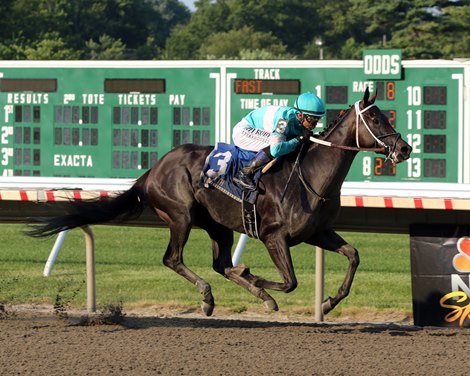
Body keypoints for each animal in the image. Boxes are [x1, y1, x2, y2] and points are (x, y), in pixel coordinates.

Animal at [30, 89, 412, 316]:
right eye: (375, 118)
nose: (405, 148)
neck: (311, 176)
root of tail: (153, 169)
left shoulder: (317, 232)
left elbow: (353, 256)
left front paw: (329, 301)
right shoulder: (274, 236)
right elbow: (290, 281)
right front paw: (257, 278)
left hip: (218, 226)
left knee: (220, 264)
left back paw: (250, 290)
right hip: (180, 215)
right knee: (174, 259)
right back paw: (210, 297)